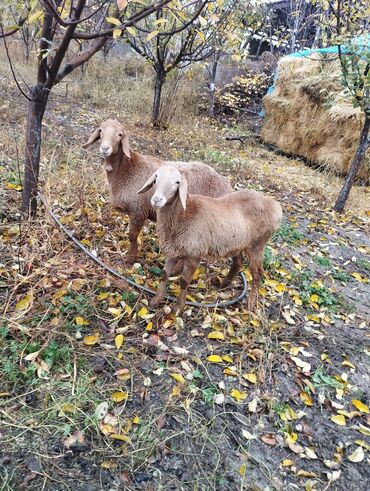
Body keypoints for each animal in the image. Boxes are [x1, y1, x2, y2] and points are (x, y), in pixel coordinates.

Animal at [137, 165, 282, 312]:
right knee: (238, 262)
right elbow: (165, 274)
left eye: (177, 182)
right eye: (156, 177)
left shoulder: (195, 255)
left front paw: (178, 307)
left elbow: (184, 282)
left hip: (257, 245)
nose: (157, 200)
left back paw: (251, 303)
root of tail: (274, 205)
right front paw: (156, 300)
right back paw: (223, 285)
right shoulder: (174, 249)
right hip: (238, 243)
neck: (183, 214)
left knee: (258, 273)